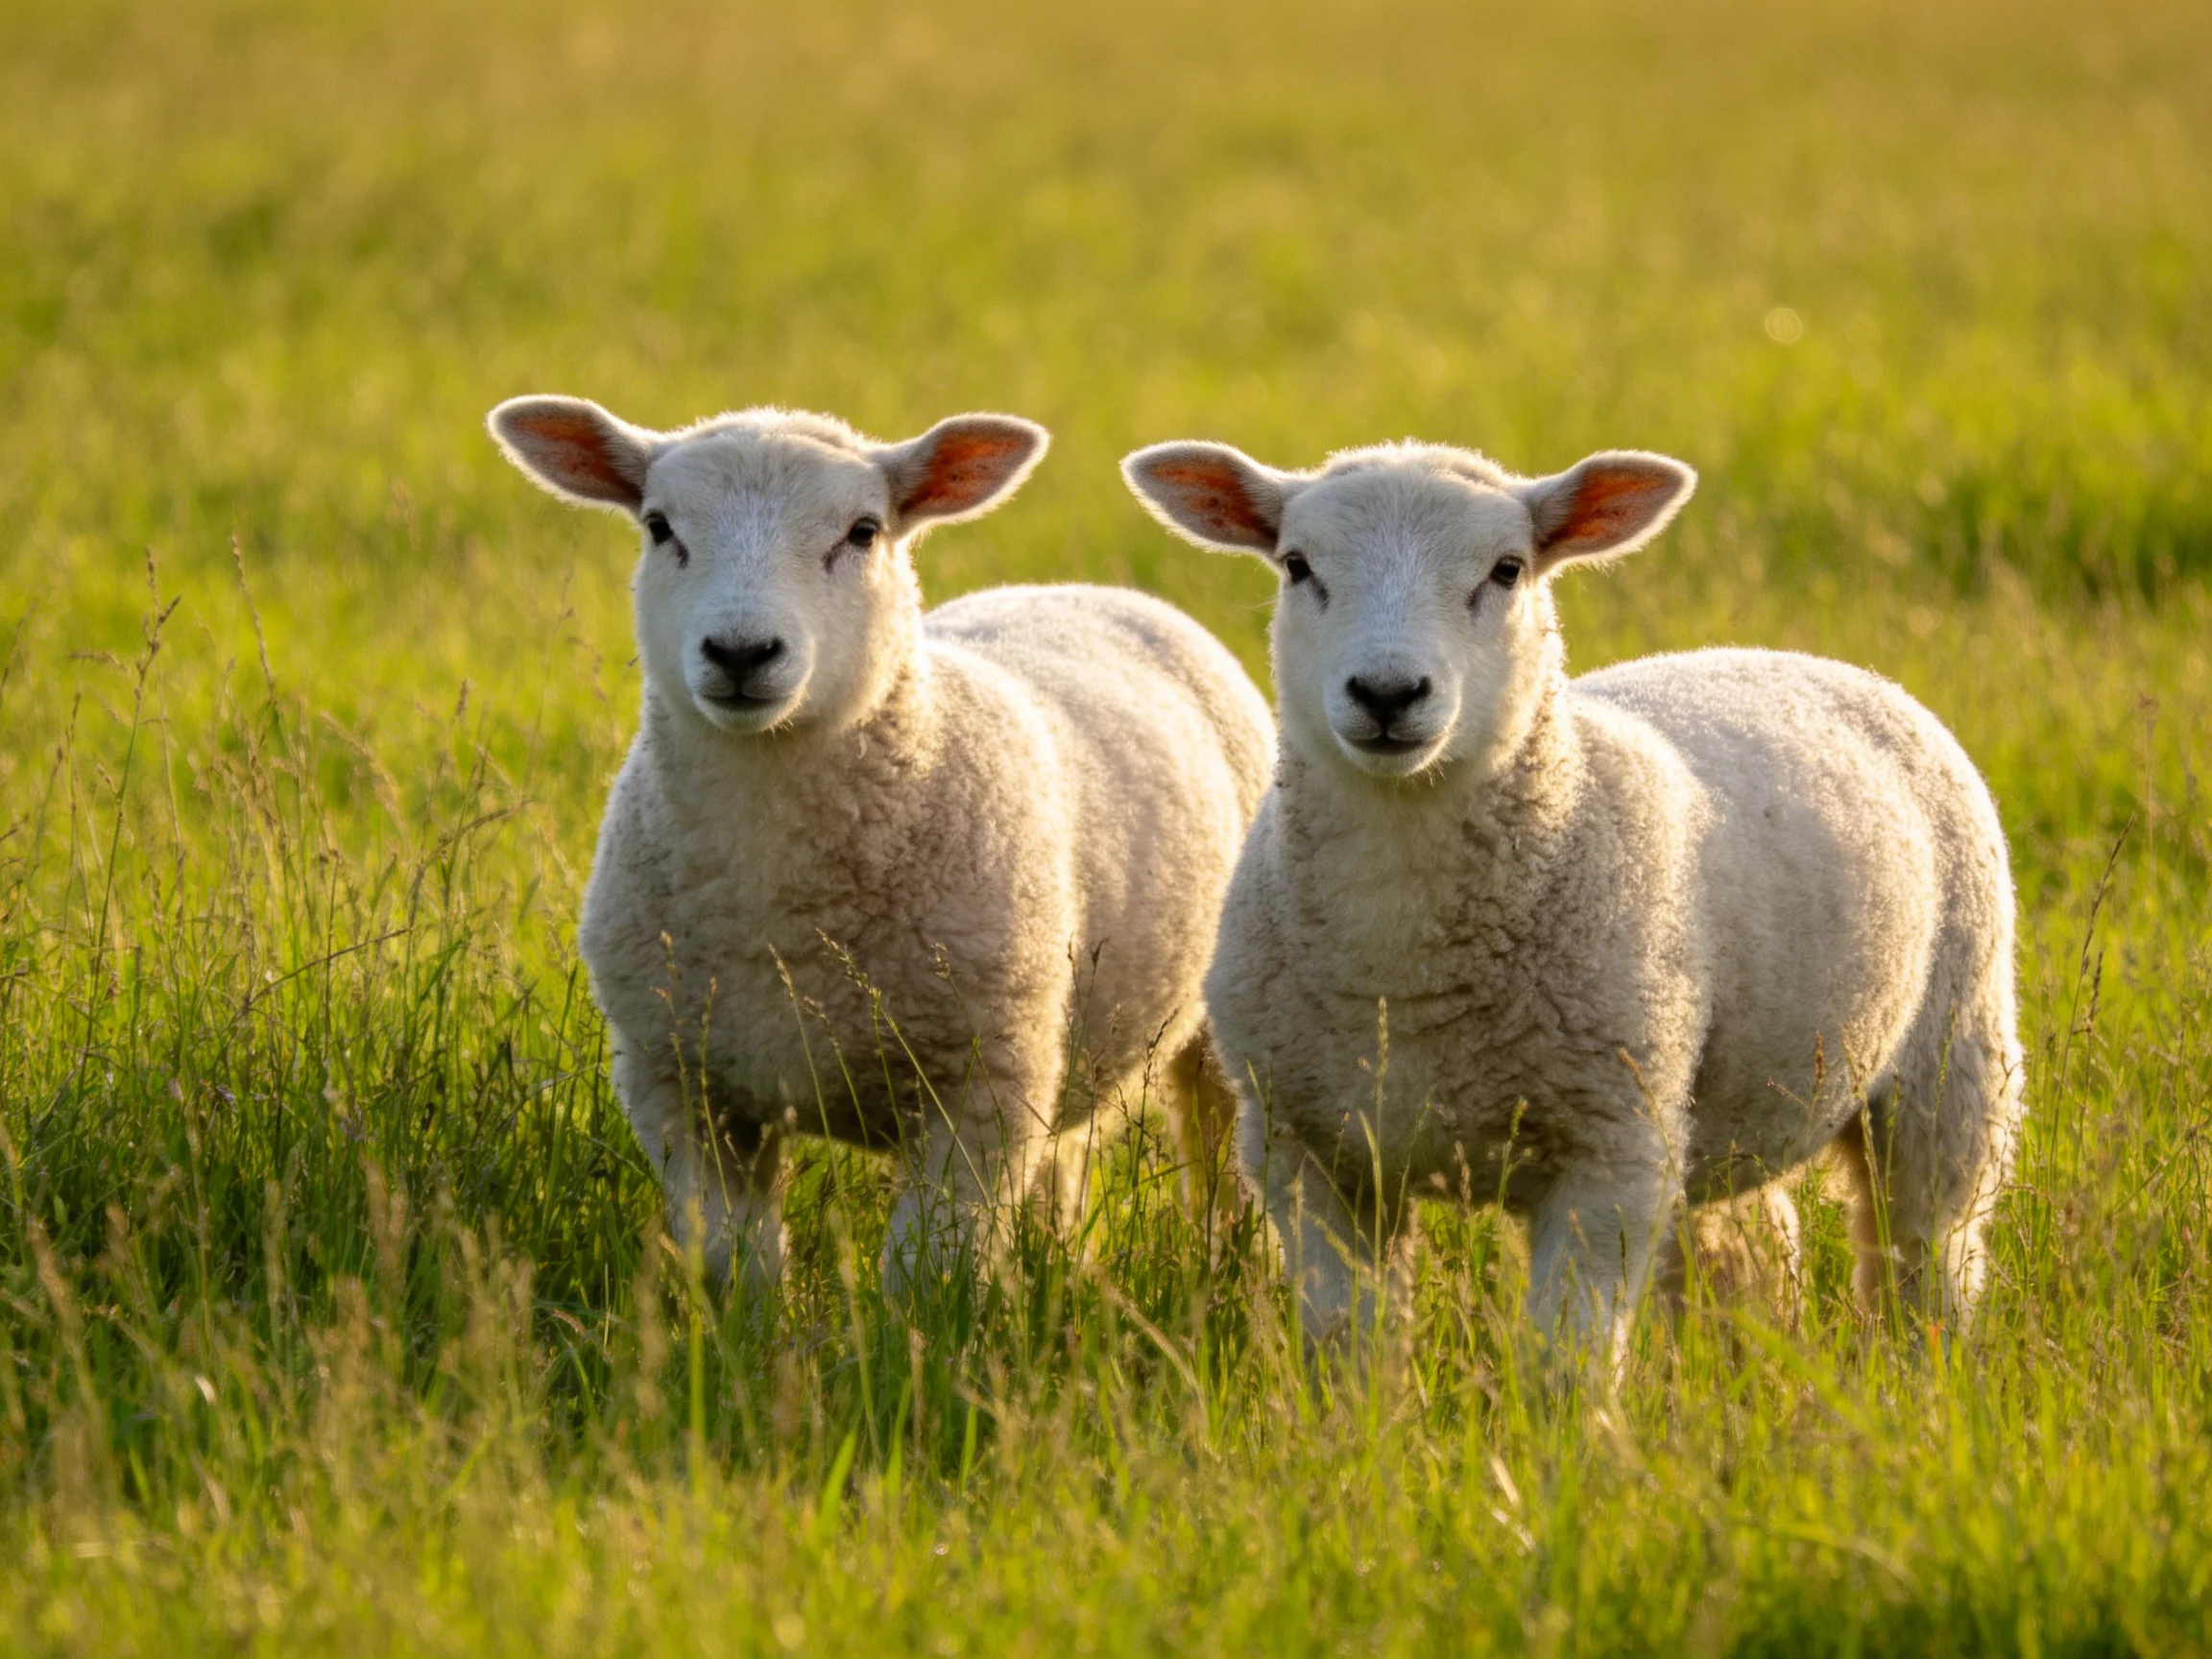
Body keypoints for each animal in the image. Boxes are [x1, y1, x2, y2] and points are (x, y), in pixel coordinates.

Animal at [489, 397, 1274, 1297]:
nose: (741, 653)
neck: (776, 909)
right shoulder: (679, 1084)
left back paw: (1232, 1271)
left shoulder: (981, 1087)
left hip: (1205, 1028)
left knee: (1219, 1154)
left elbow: (927, 1271)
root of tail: (1078, 589)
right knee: (1063, 1165)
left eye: (862, 532)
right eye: (659, 527)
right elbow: (732, 1259)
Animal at [1122, 435, 2024, 1366]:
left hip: (1951, 1053)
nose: (1387, 693)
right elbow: (1349, 1342)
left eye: (1507, 570)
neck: (1404, 971)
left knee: (1928, 1249)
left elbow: (1565, 1361)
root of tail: (1803, 659)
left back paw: (1927, 1369)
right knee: (1749, 1245)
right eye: (1298, 566)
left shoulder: (1609, 1154)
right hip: (1721, 1104)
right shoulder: (1309, 1153)